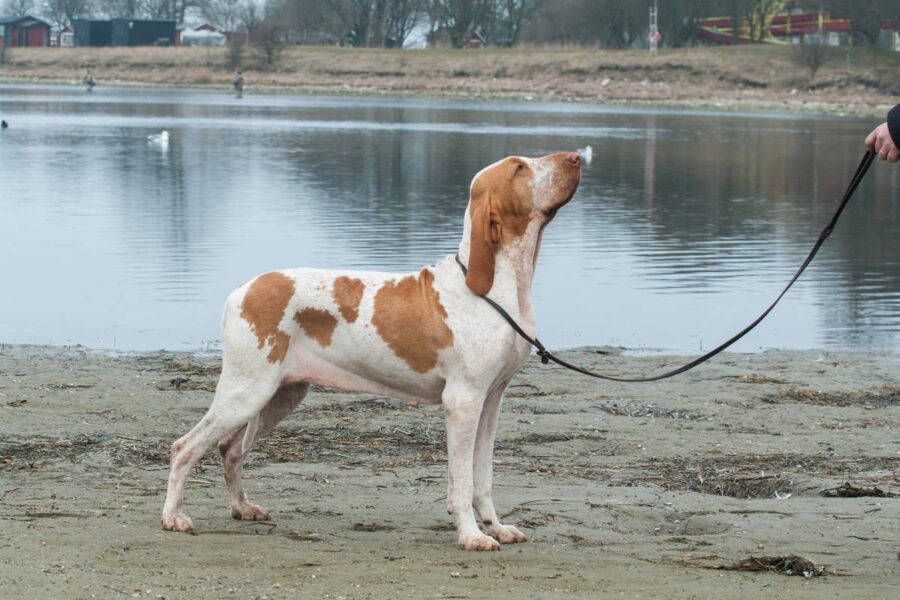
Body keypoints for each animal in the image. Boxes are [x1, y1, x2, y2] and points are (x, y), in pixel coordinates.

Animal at [162, 149, 584, 548]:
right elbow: (462, 484)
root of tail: (242, 290)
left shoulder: (491, 401)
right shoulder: (463, 402)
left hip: (279, 395)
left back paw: (242, 507)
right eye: (518, 168)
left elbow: (482, 479)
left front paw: (495, 528)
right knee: (185, 447)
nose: (576, 157)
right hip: (247, 391)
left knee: (230, 449)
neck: (498, 285)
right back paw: (173, 517)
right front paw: (471, 536)